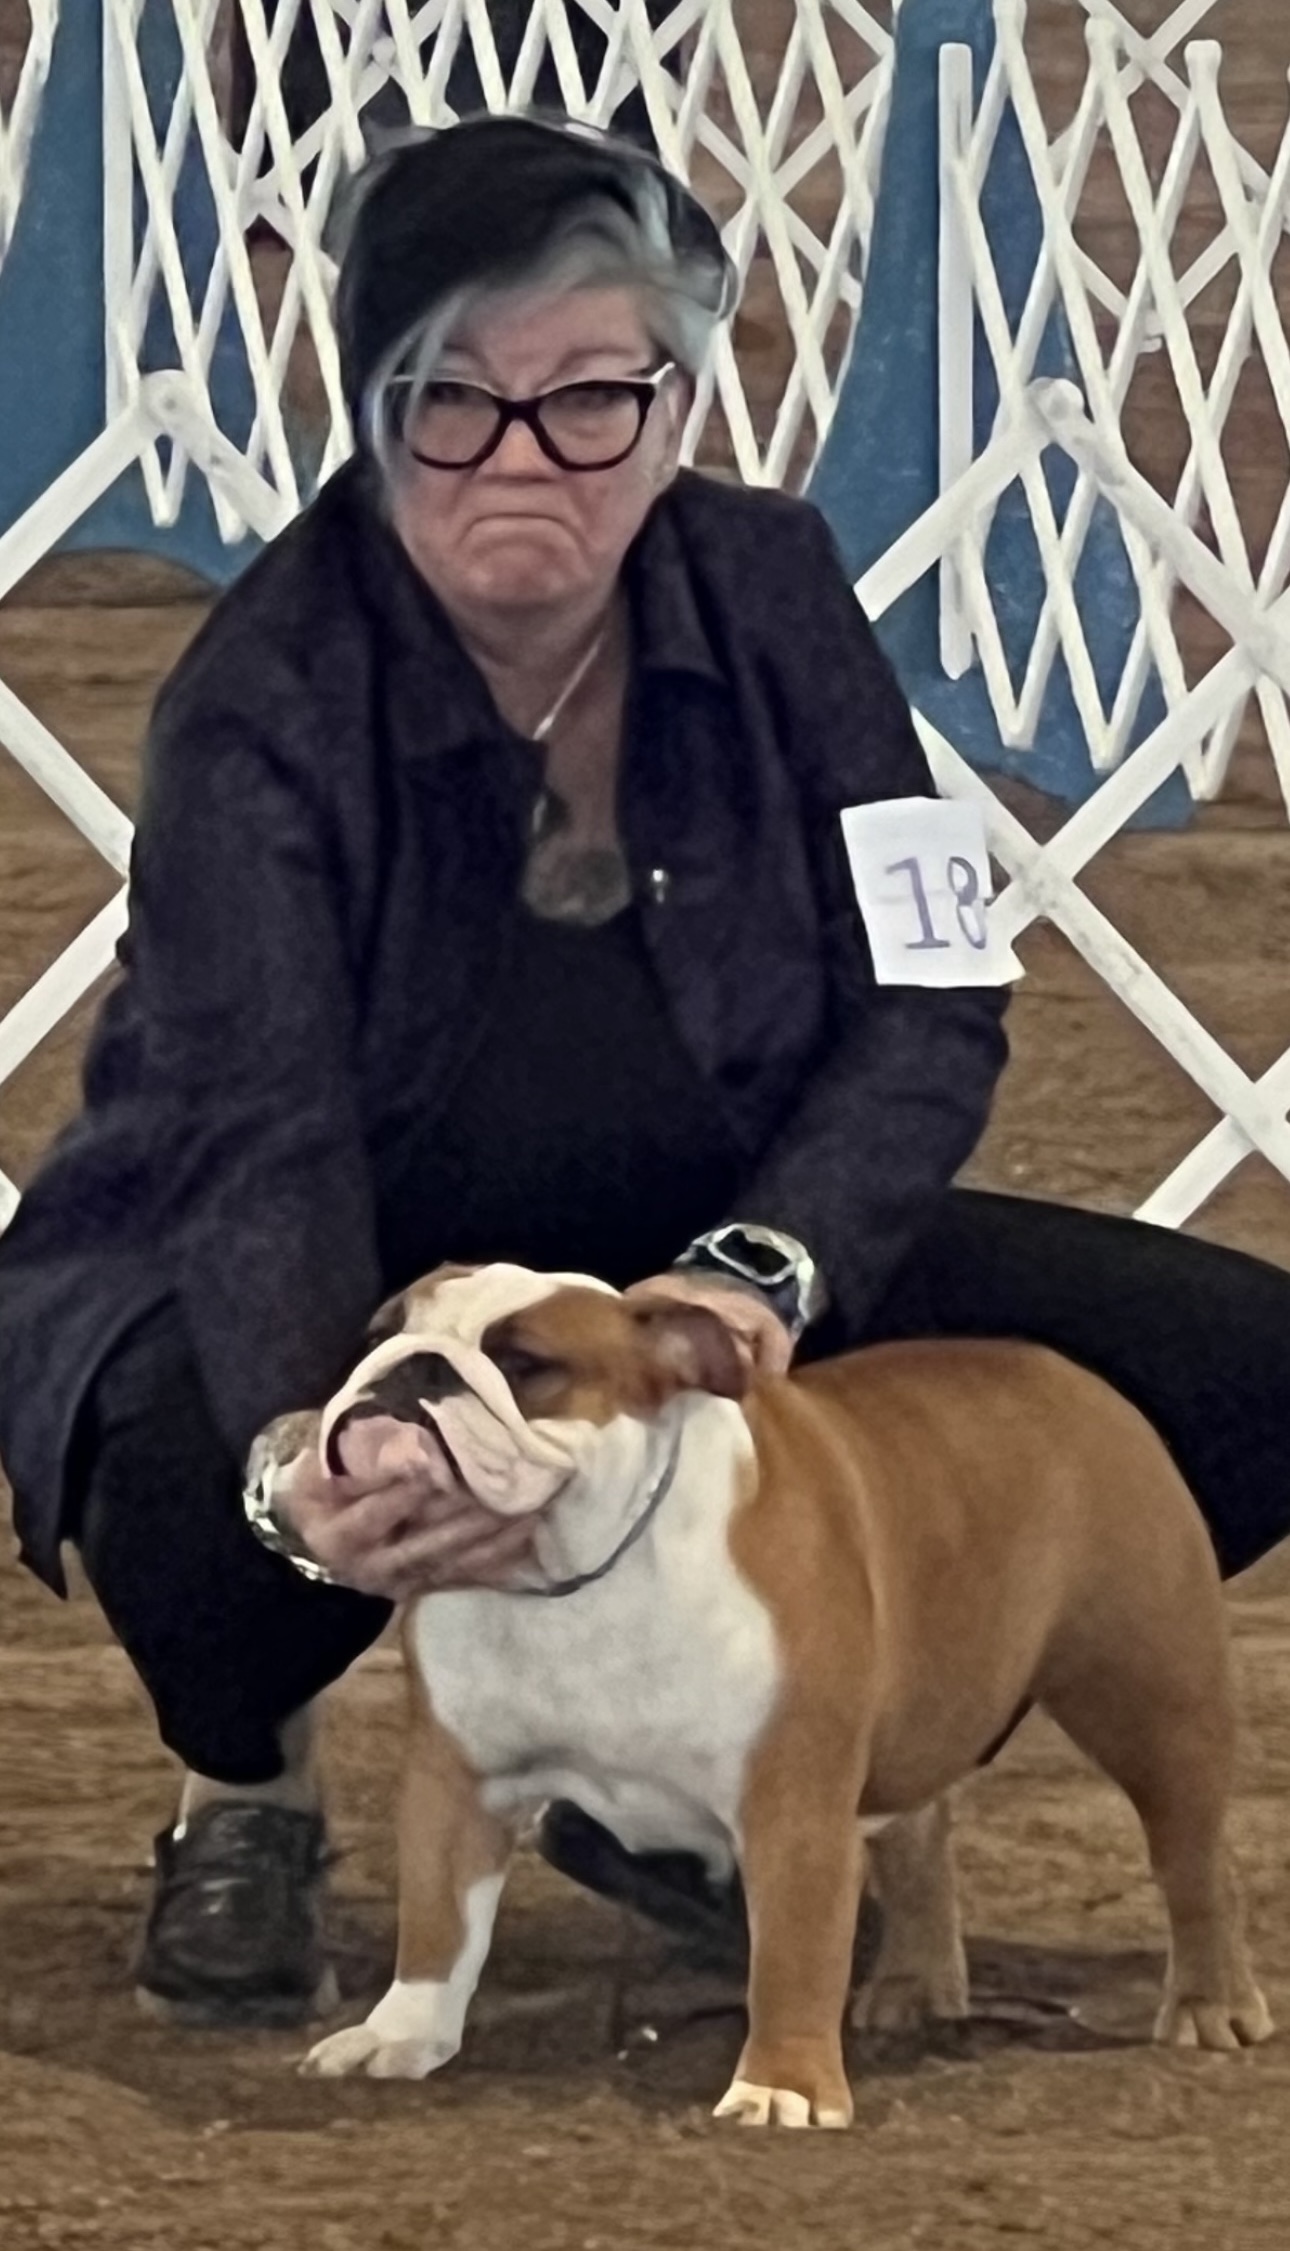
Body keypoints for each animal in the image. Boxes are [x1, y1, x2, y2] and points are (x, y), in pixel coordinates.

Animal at [260, 1261, 1271, 2127]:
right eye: (382, 1332)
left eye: (525, 1364)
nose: (408, 1369)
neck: (575, 1570)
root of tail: (1073, 1379)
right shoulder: (458, 1780)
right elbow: (437, 1922)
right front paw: (399, 2036)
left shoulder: (791, 1802)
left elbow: (791, 1951)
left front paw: (784, 2086)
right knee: (919, 1834)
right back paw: (912, 1985)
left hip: (1149, 1698)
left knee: (1192, 1857)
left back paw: (1210, 2004)